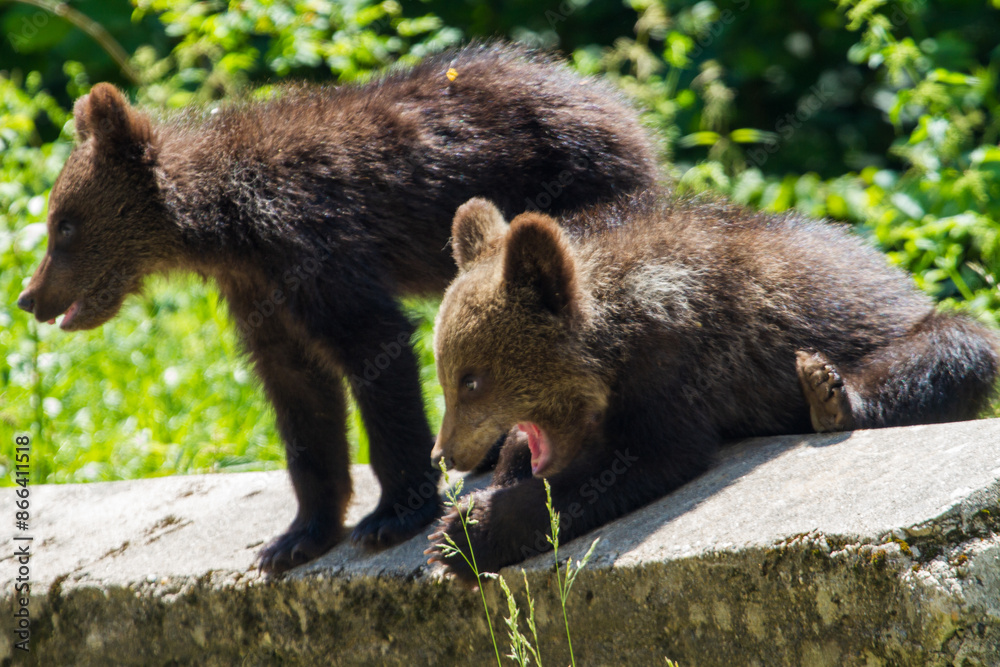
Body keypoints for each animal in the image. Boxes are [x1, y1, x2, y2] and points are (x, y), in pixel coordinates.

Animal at [15, 42, 659, 573]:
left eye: (62, 225)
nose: (28, 296)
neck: (229, 228)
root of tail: (617, 104)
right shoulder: (261, 294)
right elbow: (299, 396)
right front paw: (294, 539)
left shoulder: (318, 249)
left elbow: (373, 348)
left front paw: (391, 515)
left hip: (575, 189)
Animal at [425, 192, 1000, 581]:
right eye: (446, 372)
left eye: (471, 378)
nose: (444, 453)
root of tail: (896, 276)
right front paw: (495, 484)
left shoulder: (676, 368)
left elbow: (644, 460)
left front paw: (463, 534)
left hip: (905, 325)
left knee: (952, 346)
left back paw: (829, 396)